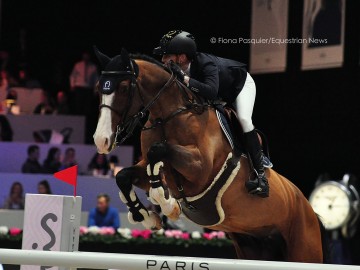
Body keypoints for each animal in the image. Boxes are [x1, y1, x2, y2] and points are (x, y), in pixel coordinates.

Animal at [92, 47, 330, 262]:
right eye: (98, 88)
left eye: (124, 88)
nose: (101, 140)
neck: (168, 116)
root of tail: (310, 210)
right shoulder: (148, 168)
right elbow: (124, 175)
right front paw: (149, 217)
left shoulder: (201, 170)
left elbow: (157, 151)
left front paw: (168, 205)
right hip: (255, 244)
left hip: (304, 249)